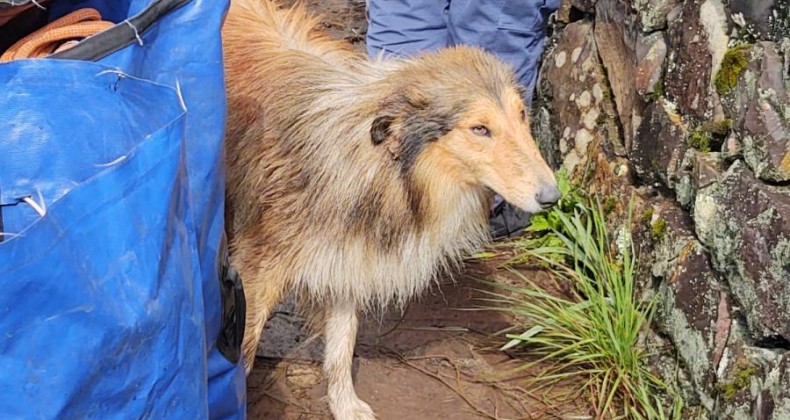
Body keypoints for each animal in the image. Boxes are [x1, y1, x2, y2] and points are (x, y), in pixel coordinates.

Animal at [220, 1, 560, 418]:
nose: (552, 196)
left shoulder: (348, 258)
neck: (380, 165)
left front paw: (346, 406)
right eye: (480, 128)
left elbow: (341, 346)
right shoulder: (255, 274)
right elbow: (243, 349)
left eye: (522, 115)